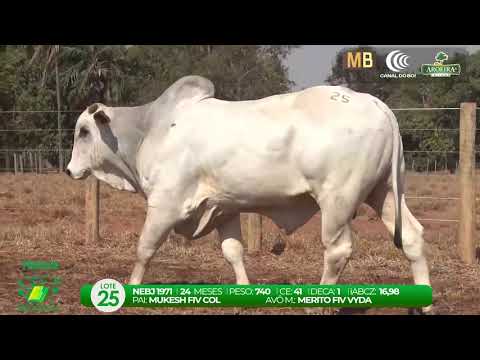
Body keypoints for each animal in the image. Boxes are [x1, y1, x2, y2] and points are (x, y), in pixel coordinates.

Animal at [66, 75, 432, 312]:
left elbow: (144, 249)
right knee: (413, 238)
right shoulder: (223, 208)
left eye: (83, 131)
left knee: (337, 250)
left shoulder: (165, 204)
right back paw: (425, 303)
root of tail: (376, 104)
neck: (149, 129)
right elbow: (233, 252)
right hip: (384, 192)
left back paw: (319, 304)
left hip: (338, 201)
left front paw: (131, 289)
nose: (69, 170)